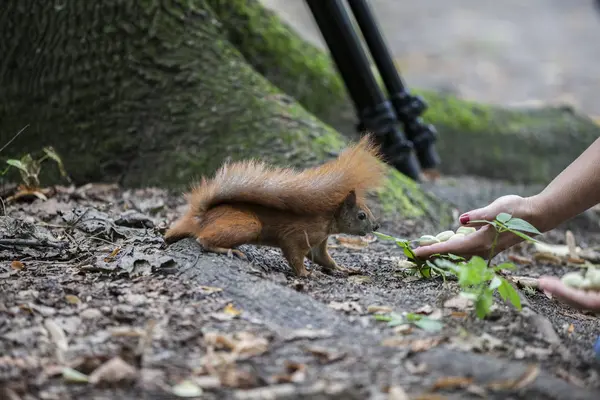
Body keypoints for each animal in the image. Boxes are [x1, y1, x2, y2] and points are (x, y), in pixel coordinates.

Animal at [164, 136, 386, 276]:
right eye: (361, 215)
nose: (376, 226)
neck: (329, 220)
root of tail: (200, 219)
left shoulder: (318, 243)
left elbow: (323, 259)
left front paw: (343, 269)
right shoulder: (299, 235)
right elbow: (294, 254)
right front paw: (306, 274)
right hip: (247, 225)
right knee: (203, 240)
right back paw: (228, 250)